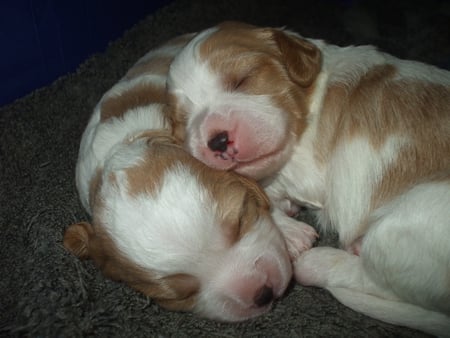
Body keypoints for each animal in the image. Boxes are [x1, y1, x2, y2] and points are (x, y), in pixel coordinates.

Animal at [165, 21, 450, 336]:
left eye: (242, 80)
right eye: (182, 119)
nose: (217, 141)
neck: (312, 98)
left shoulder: (306, 173)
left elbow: (265, 190)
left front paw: (290, 231)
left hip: (407, 221)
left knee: (377, 280)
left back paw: (319, 262)